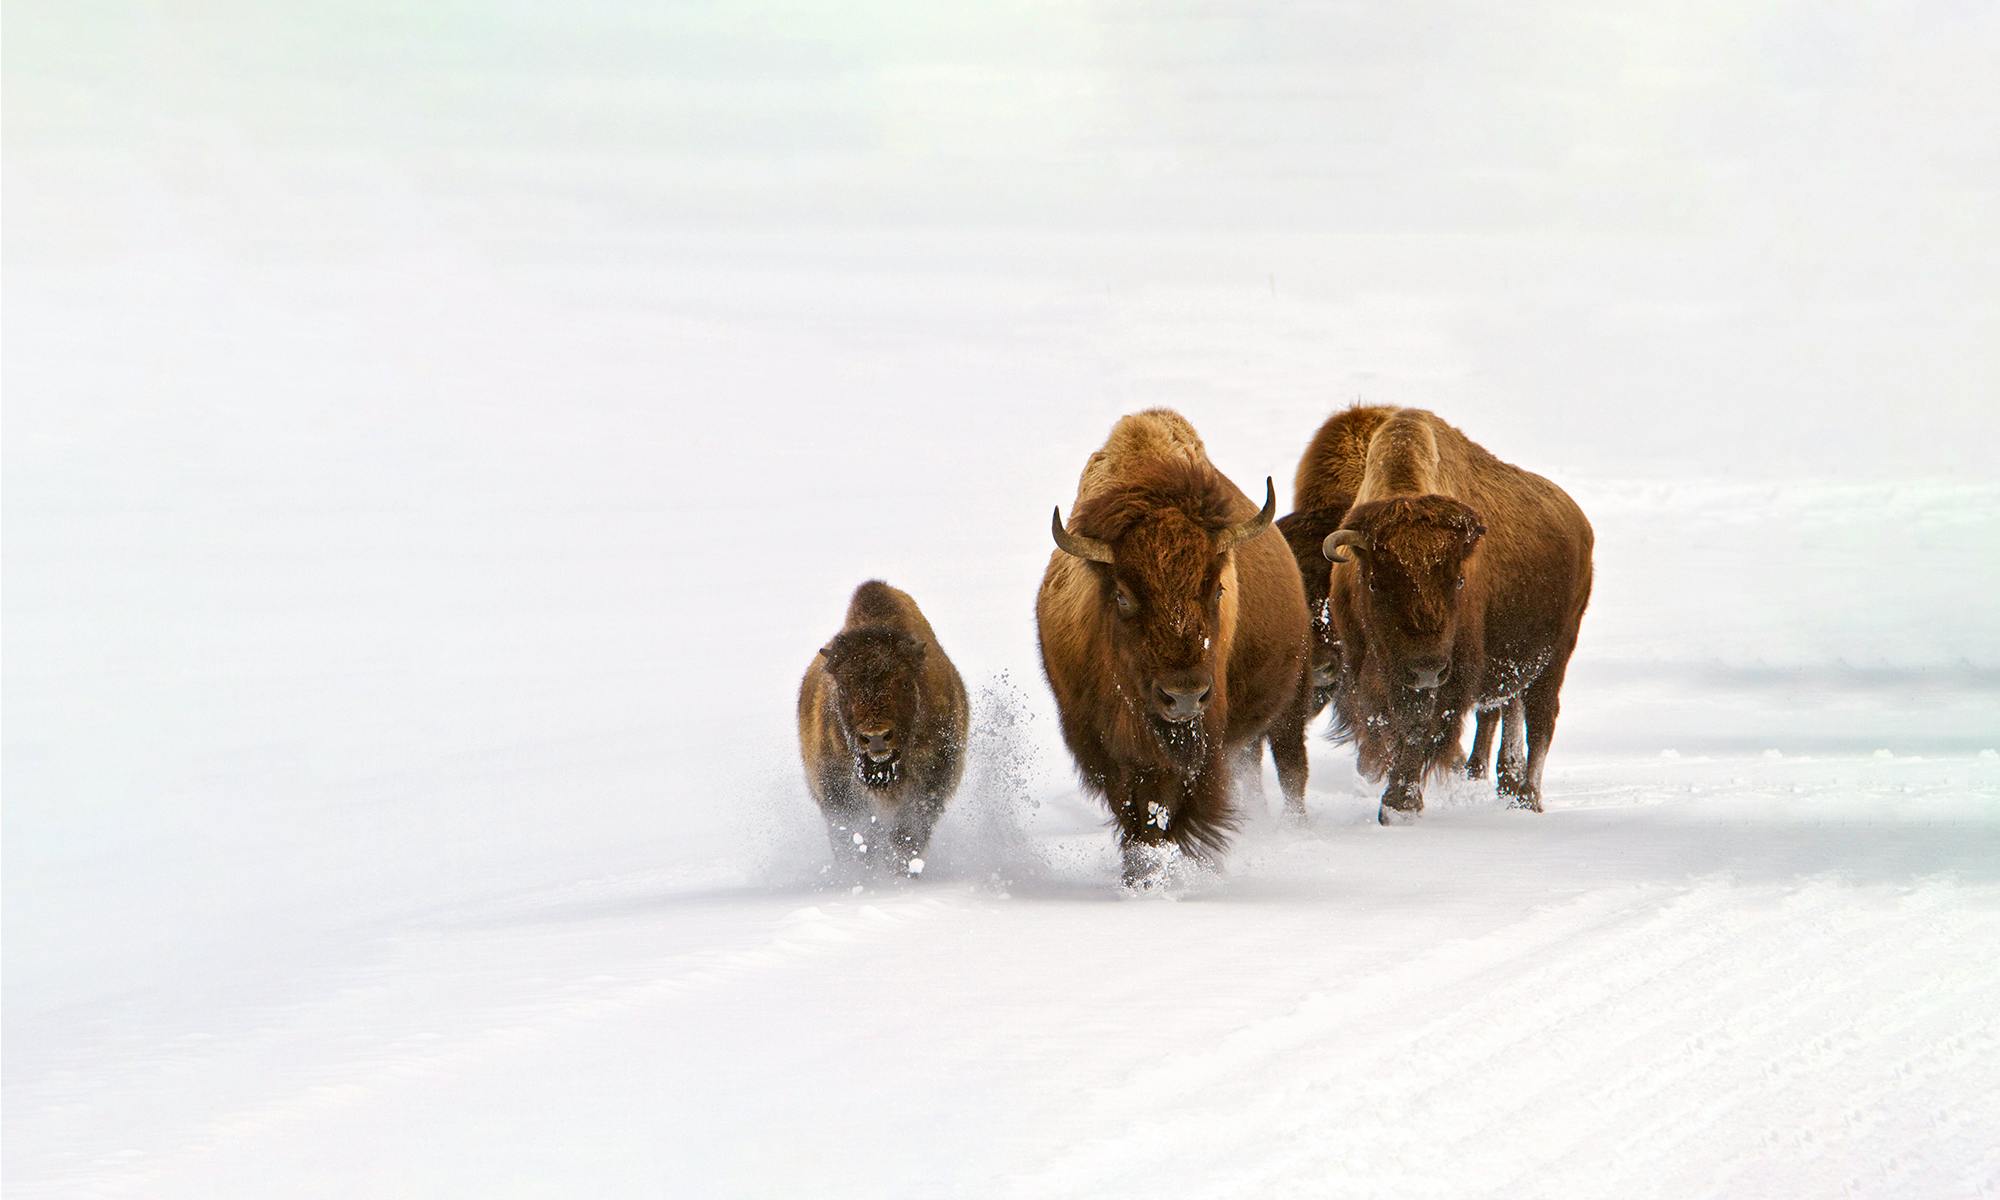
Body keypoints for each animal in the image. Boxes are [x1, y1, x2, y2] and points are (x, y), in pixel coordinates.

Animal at [798, 581, 969, 875]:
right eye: (842, 688)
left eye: (905, 682)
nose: (876, 738)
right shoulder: (838, 795)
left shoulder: (928, 789)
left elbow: (906, 837)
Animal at [1037, 409, 1313, 884]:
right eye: (1123, 596)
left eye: (1217, 589)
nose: (1183, 697)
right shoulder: (1106, 750)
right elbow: (1139, 817)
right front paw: (1140, 878)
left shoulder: (1202, 747)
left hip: (1290, 704)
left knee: (1291, 767)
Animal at [1305, 406, 1593, 823]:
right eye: (1374, 583)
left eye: (1459, 580)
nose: (1426, 671)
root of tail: (1579, 522)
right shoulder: (1367, 671)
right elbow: (1392, 723)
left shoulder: (1453, 671)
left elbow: (1421, 725)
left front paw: (1398, 805)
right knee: (1512, 706)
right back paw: (1509, 788)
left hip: (1557, 653)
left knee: (1541, 718)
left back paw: (1528, 799)